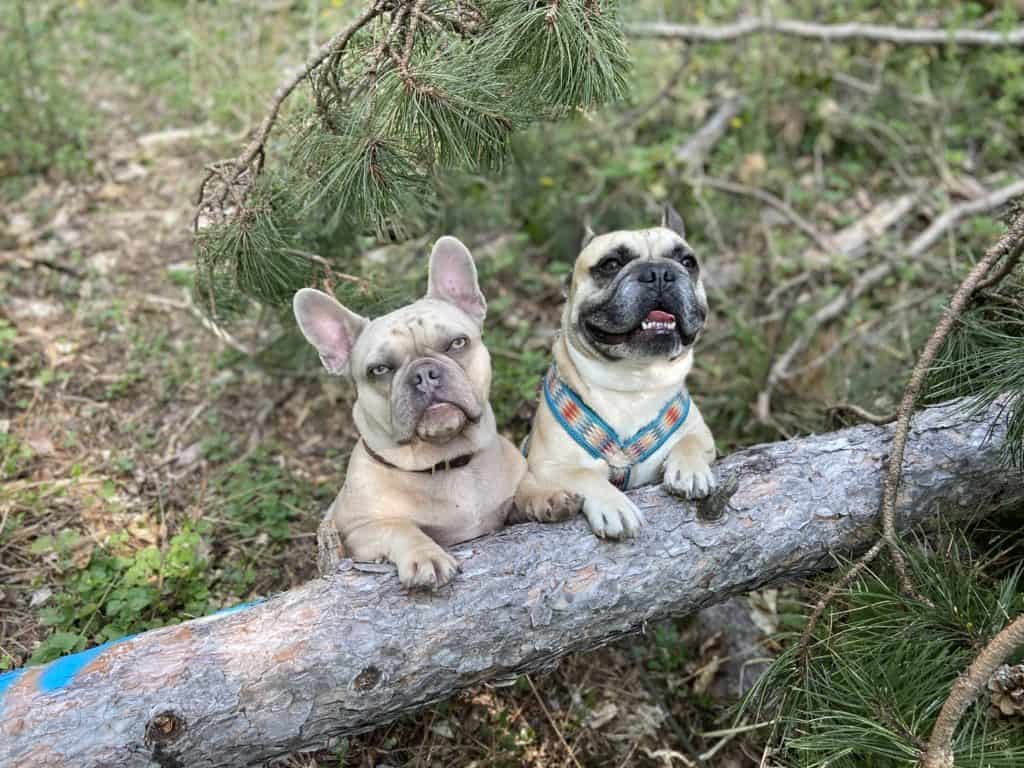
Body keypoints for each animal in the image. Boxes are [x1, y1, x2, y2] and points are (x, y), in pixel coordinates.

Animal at [294, 234, 577, 589]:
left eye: (456, 343)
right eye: (379, 370)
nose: (424, 373)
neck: (447, 463)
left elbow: (522, 488)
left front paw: (546, 494)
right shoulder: (359, 533)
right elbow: (399, 527)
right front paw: (425, 556)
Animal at [516, 205, 716, 540]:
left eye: (687, 262)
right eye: (610, 264)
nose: (659, 273)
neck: (634, 380)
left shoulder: (701, 432)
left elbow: (690, 442)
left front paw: (691, 470)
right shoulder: (550, 465)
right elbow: (584, 475)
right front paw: (615, 506)